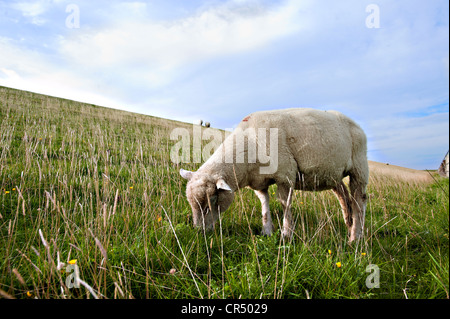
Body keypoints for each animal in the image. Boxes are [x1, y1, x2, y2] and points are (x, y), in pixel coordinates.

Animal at [180, 107, 370, 242]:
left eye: (212, 200)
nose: (199, 232)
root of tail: (355, 124)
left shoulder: (285, 174)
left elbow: (284, 204)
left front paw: (286, 234)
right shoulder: (258, 182)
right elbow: (264, 204)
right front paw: (267, 231)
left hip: (359, 166)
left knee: (359, 200)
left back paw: (355, 237)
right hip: (332, 174)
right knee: (343, 195)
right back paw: (348, 224)